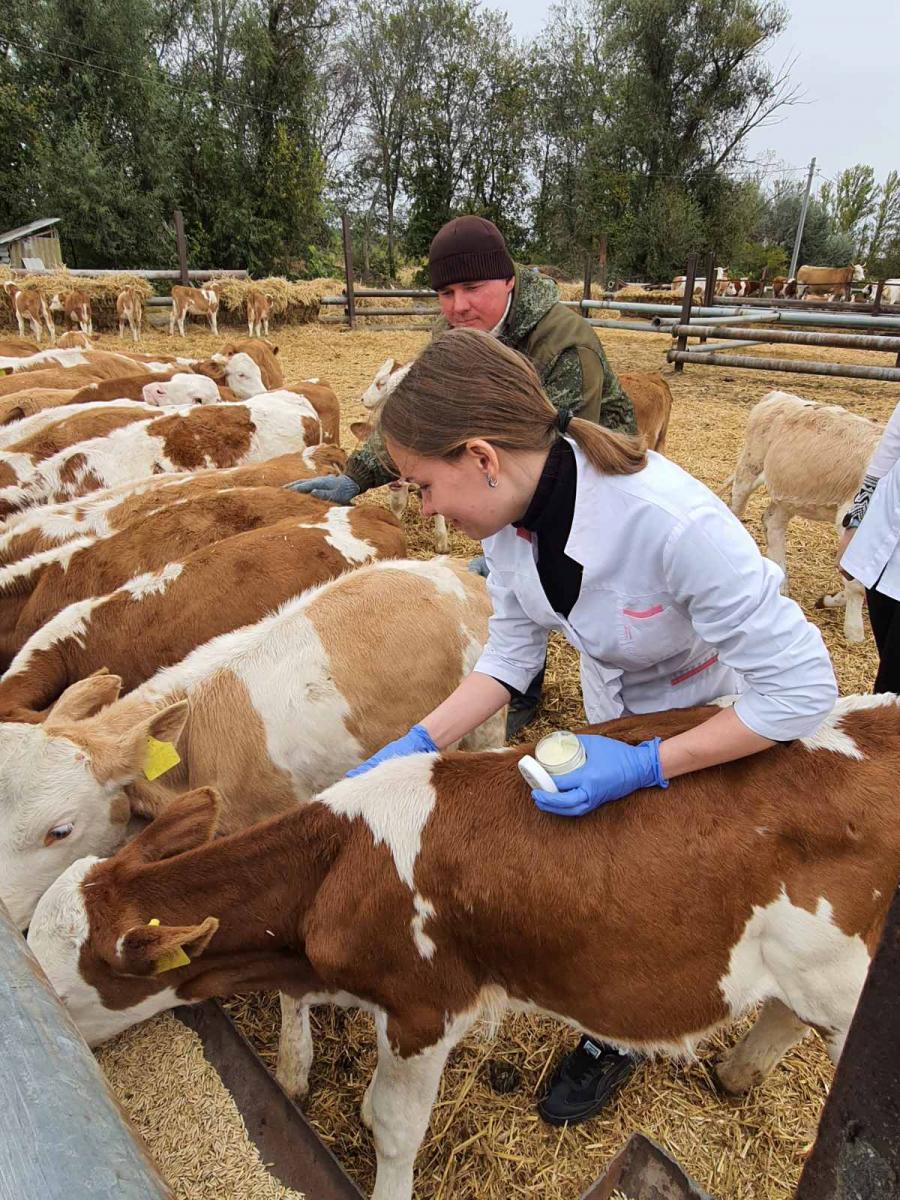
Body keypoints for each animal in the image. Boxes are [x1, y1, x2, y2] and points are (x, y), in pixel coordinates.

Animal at [26, 696, 900, 1200]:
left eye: (63, 991)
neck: (340, 864)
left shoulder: (424, 1005)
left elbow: (392, 1126)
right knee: (785, 1012)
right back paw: (738, 1071)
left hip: (847, 976)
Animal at [729, 391, 883, 638]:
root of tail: (778, 395)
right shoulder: (851, 520)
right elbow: (857, 585)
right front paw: (854, 632)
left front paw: (828, 600)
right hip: (749, 468)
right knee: (734, 508)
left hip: (788, 492)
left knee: (772, 521)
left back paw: (781, 584)